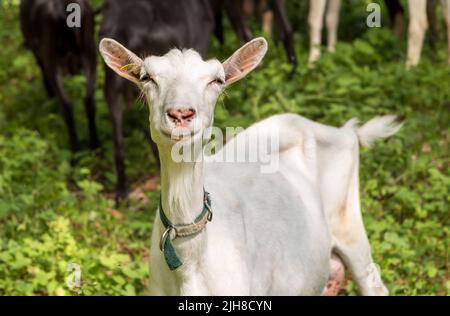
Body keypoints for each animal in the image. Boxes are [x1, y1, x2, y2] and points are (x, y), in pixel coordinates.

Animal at [101, 37, 400, 296]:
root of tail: (345, 131)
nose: (181, 114)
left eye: (217, 80)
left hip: (348, 221)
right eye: (146, 77)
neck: (190, 267)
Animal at [308, 0, 450, 65]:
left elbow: (314, 19)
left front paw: (312, 64)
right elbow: (331, 18)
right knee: (446, 18)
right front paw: (331, 54)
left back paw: (408, 71)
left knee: (418, 24)